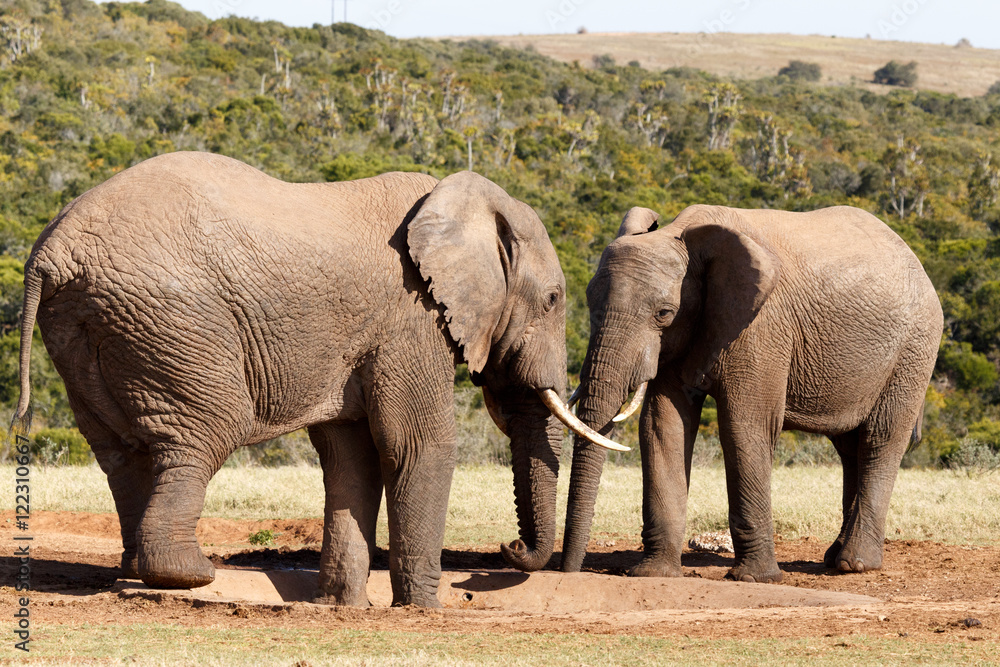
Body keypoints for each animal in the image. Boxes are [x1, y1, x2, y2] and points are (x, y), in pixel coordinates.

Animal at [11, 151, 620, 607]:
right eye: (553, 300)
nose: (510, 546)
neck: (462, 202)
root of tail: (52, 252)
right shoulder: (409, 316)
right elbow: (417, 444)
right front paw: (424, 608)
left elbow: (351, 455)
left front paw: (343, 606)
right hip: (171, 321)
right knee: (202, 434)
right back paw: (190, 574)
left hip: (84, 327)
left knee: (120, 453)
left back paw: (135, 574)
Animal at [560, 204, 943, 583]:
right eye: (588, 301)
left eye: (664, 313)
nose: (566, 569)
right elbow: (662, 427)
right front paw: (654, 574)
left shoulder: (761, 327)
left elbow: (744, 426)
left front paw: (754, 578)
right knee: (851, 447)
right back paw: (834, 558)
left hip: (915, 348)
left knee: (881, 439)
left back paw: (855, 564)